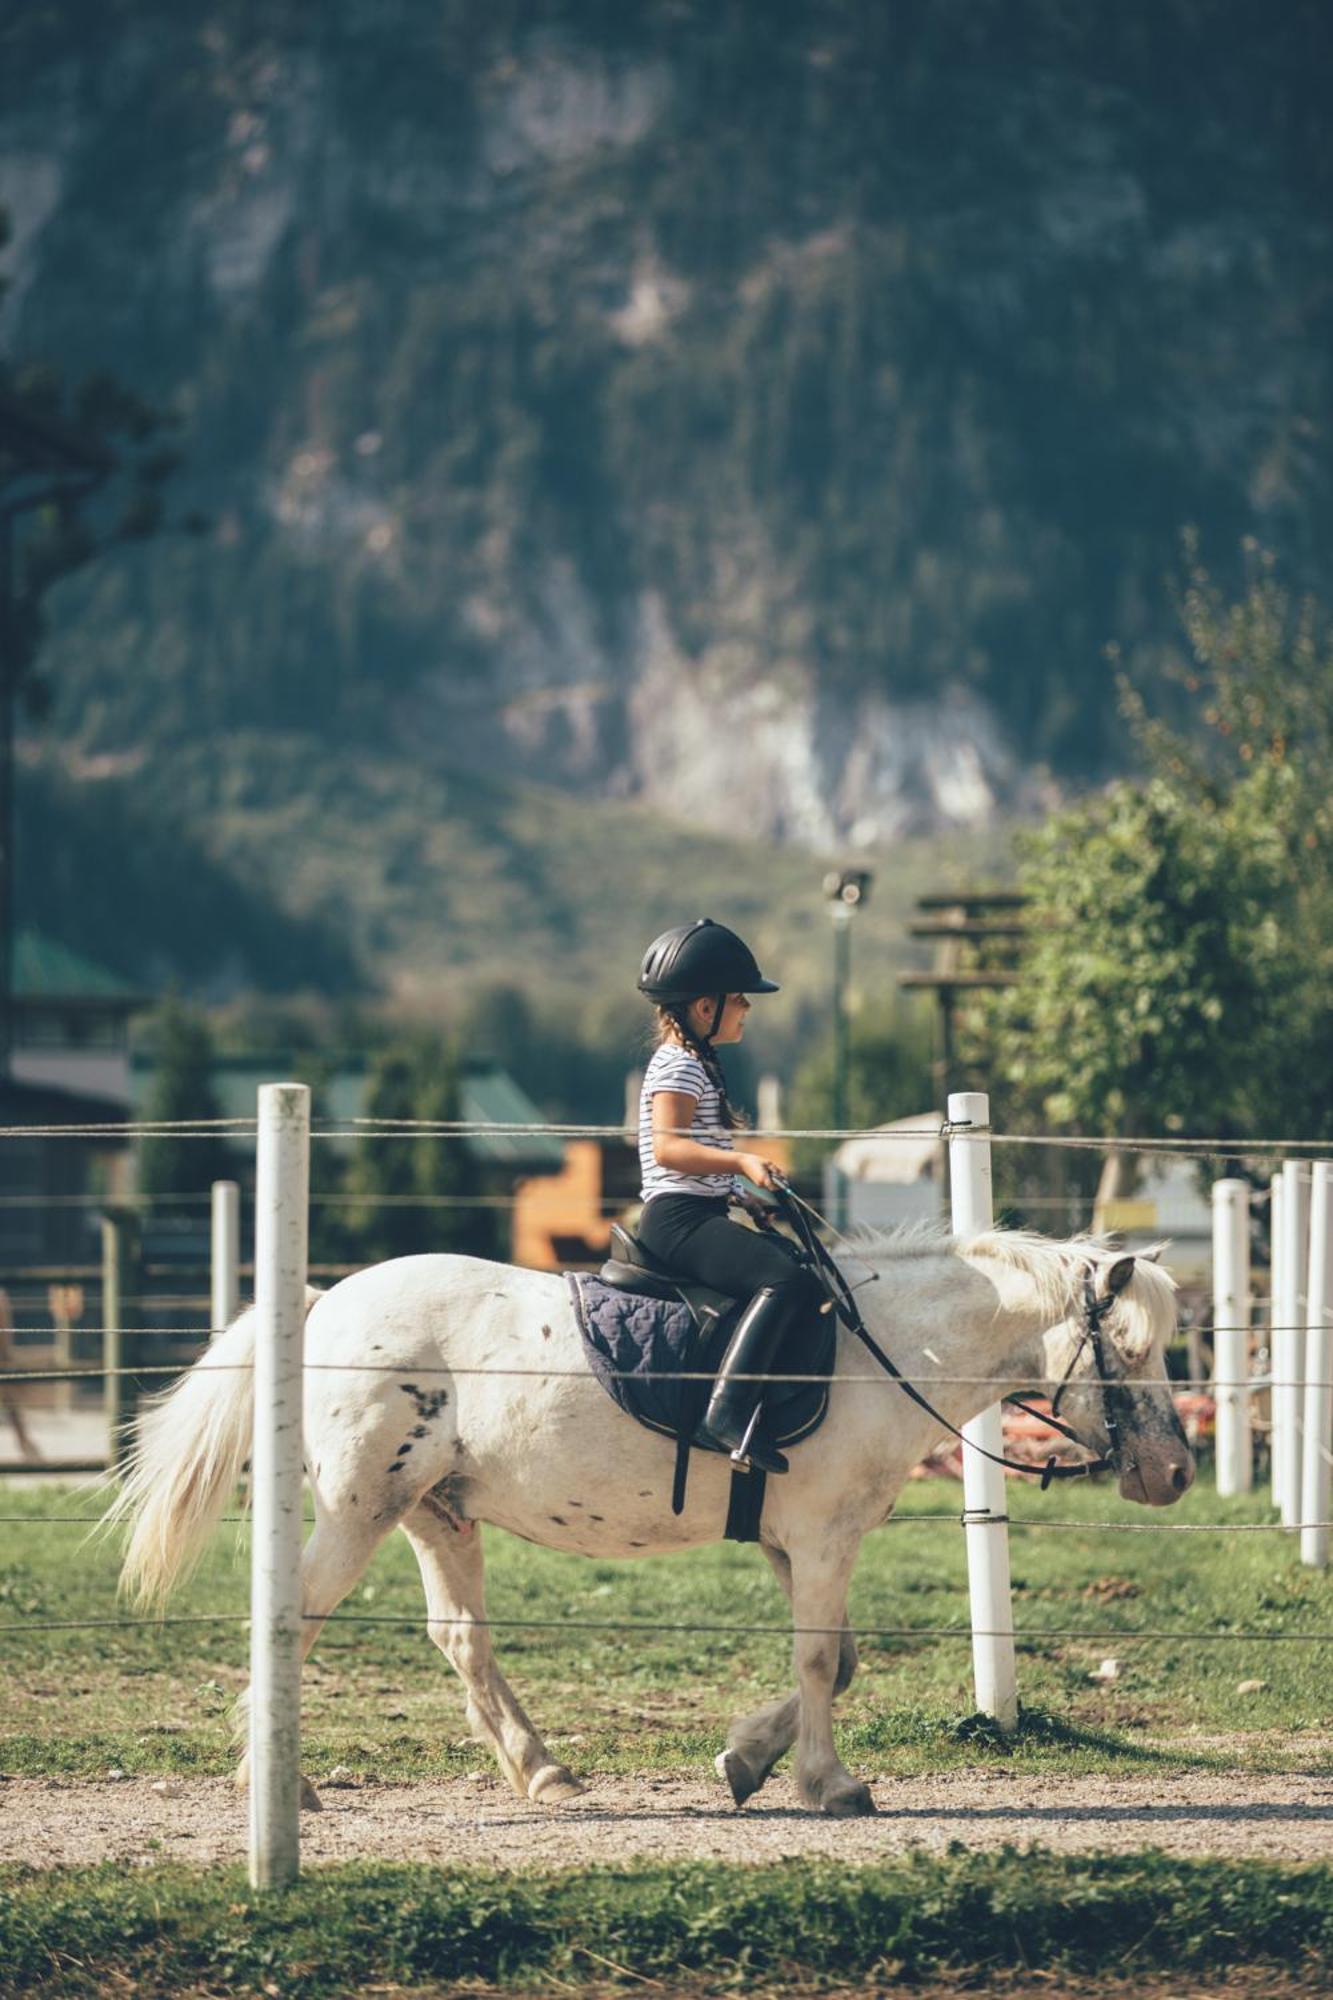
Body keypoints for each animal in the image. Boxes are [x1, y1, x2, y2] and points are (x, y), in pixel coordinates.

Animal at [114, 1224, 1184, 1824]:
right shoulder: (822, 1537)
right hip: (358, 1510)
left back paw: (543, 1773)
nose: (1174, 1473)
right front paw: (828, 1784)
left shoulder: (793, 1542)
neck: (880, 1350)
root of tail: (321, 1302)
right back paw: (277, 1783)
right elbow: (817, 1662)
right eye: (1128, 1351)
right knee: (294, 1618)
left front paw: (747, 1761)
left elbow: (836, 1661)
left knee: (460, 1639)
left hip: (434, 1513)